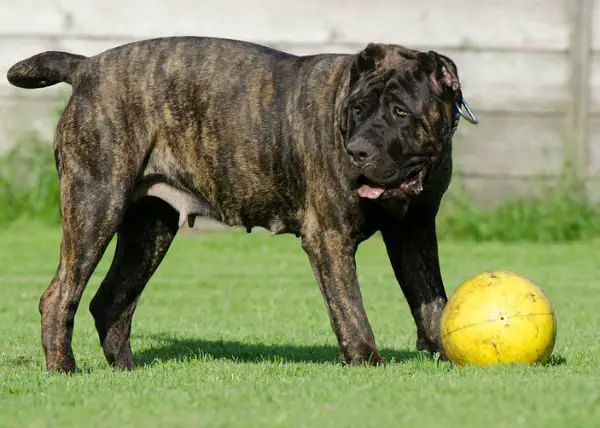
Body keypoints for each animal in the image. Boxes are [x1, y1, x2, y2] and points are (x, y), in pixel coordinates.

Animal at [5, 36, 478, 372]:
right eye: (357, 109)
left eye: (400, 111)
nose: (357, 151)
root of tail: (86, 67)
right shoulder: (329, 237)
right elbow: (350, 308)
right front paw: (367, 360)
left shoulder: (415, 232)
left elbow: (431, 299)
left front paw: (446, 352)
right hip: (95, 206)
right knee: (60, 294)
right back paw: (63, 368)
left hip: (148, 230)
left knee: (111, 300)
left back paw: (126, 370)